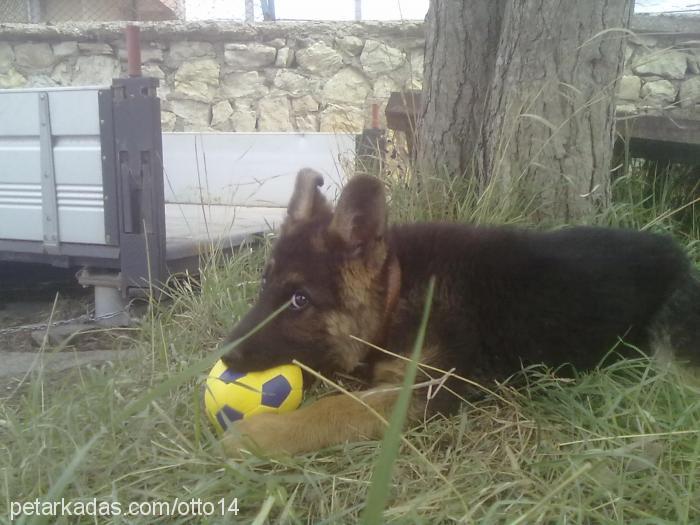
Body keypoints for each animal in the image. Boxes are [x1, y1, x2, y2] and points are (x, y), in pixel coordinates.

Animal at [220, 169, 700, 454]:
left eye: (300, 300)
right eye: (264, 284)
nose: (224, 356)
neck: (400, 289)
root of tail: (678, 253)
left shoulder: (431, 387)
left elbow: (340, 408)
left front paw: (261, 434)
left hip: (672, 350)